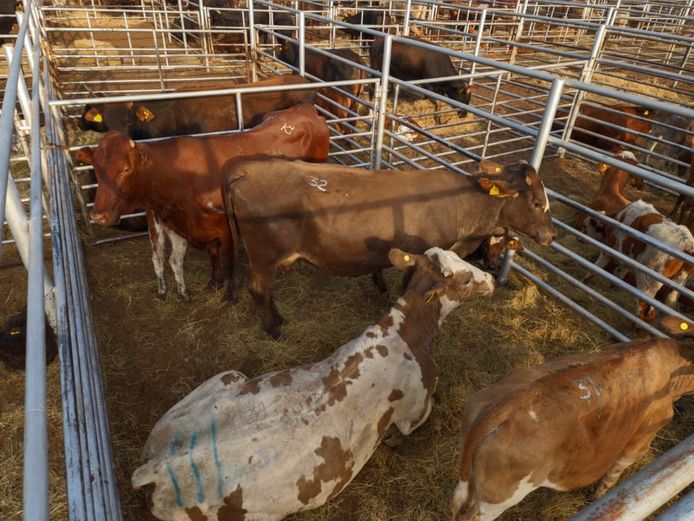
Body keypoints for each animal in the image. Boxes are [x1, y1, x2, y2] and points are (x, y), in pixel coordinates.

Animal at [79, 104, 330, 302]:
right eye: (97, 169)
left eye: (125, 169)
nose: (98, 215)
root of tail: (305, 109)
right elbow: (212, 254)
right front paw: (214, 281)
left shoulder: (225, 228)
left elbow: (230, 262)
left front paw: (231, 293)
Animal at [132, 247, 495, 521]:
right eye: (465, 278)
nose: (491, 278)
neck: (404, 331)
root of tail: (158, 466)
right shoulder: (416, 409)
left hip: (222, 379)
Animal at [223, 157, 556, 337]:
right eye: (537, 203)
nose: (551, 235)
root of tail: (247, 169)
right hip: (264, 256)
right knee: (259, 289)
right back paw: (274, 328)